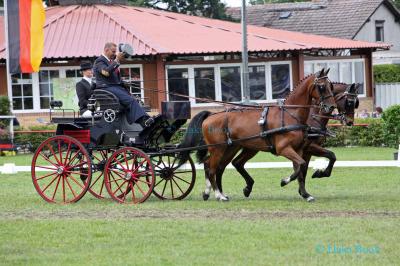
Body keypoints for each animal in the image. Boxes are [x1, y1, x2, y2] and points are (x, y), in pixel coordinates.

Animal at [179, 68, 338, 202]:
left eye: (331, 86)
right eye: (322, 86)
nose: (331, 107)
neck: (290, 115)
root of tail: (211, 115)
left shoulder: (298, 149)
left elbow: (300, 170)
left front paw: (306, 194)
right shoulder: (284, 149)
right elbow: (301, 165)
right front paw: (284, 181)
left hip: (232, 148)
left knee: (218, 166)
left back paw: (212, 193)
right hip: (218, 148)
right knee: (212, 168)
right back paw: (219, 195)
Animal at [230, 82, 360, 201]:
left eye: (356, 103)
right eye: (349, 102)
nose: (350, 122)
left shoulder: (305, 150)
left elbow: (328, 158)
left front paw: (315, 178)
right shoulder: (309, 148)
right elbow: (306, 167)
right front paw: (306, 186)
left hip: (251, 148)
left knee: (237, 163)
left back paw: (247, 188)